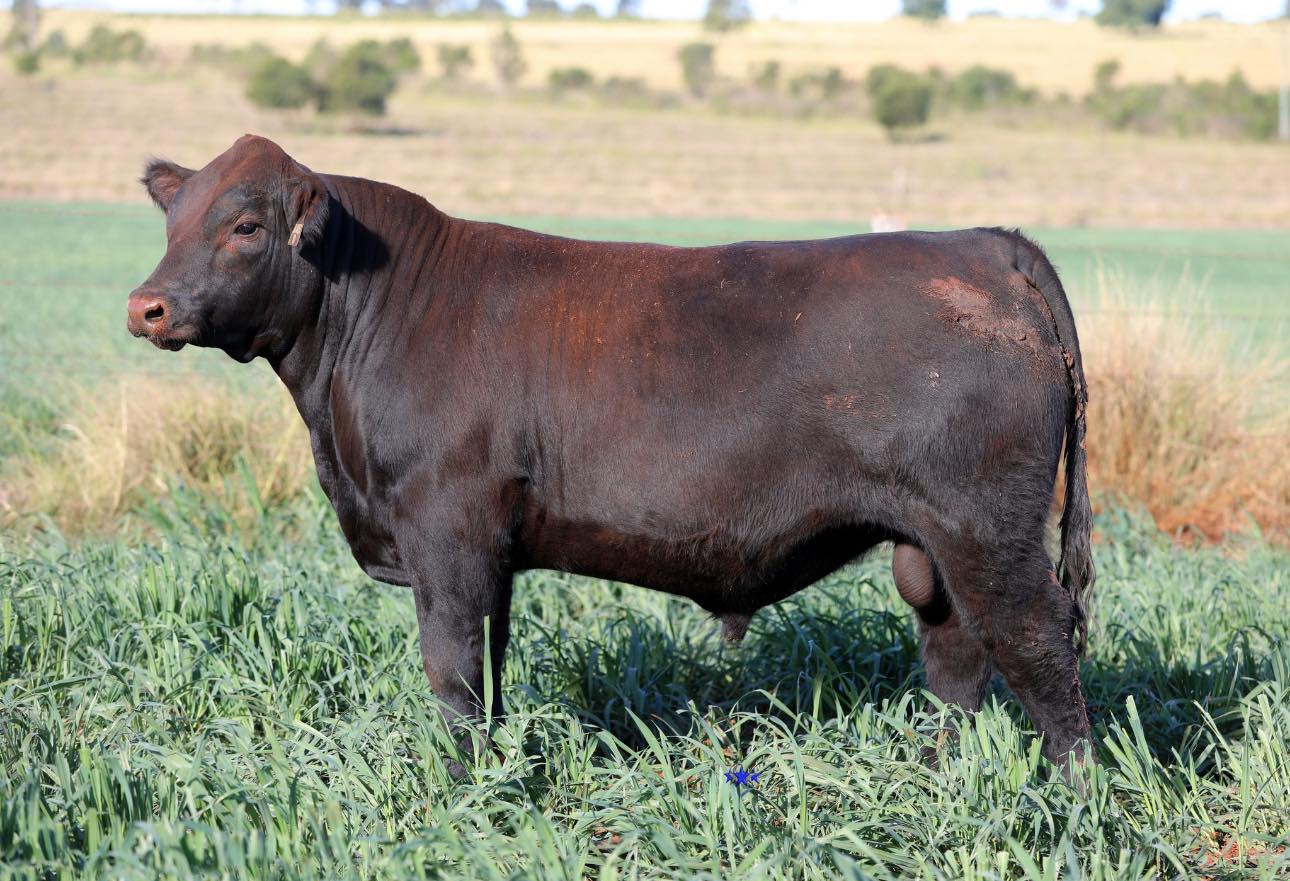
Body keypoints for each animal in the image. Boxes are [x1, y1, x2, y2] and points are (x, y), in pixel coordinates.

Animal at [127, 134, 1095, 776]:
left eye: (246, 225)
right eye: (172, 219)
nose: (148, 306)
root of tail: (985, 242)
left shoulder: (448, 528)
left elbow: (452, 670)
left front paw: (459, 785)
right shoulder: (490, 552)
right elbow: (489, 667)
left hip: (986, 528)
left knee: (1036, 639)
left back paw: (1072, 794)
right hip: (932, 544)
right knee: (957, 653)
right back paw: (944, 771)